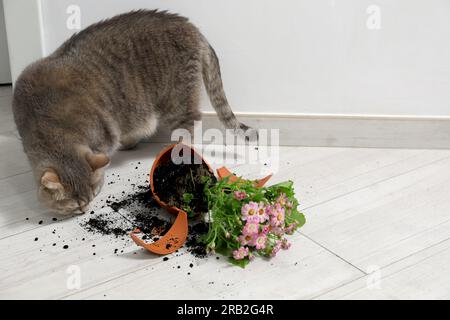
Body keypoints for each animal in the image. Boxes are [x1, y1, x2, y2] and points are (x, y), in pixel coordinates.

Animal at [13, 9, 253, 215]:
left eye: (92, 196)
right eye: (74, 205)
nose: (84, 210)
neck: (46, 121)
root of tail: (192, 28)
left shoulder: (103, 137)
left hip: (177, 102)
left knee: (188, 128)